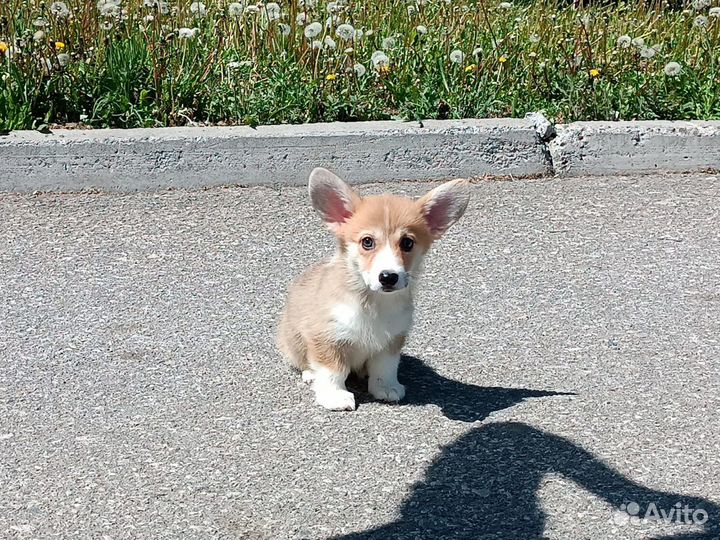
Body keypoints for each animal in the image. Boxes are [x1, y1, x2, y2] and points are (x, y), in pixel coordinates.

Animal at [278, 167, 472, 412]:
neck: (373, 303)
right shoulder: (327, 337)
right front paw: (335, 396)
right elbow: (332, 370)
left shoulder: (392, 339)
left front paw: (386, 388)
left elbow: (384, 367)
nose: (388, 277)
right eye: (367, 242)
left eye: (407, 243)